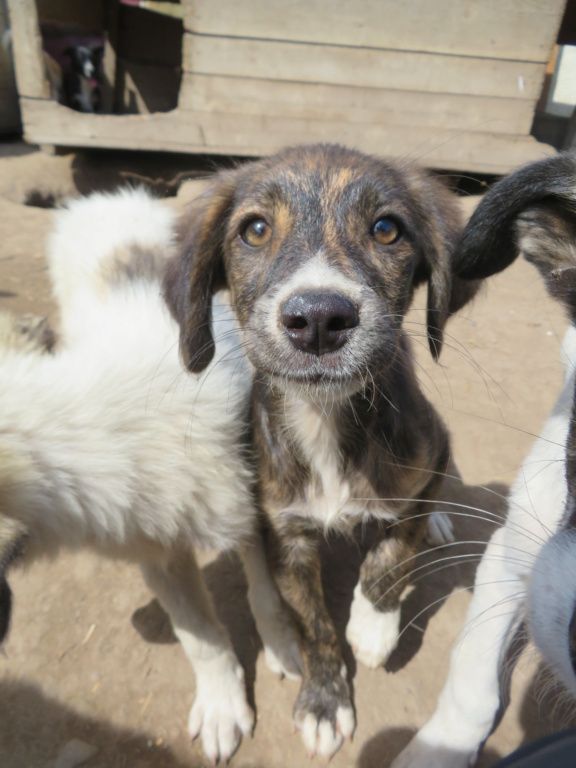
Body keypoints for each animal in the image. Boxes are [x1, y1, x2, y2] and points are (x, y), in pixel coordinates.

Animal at [0, 189, 300, 764]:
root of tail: (106, 196)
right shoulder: (153, 548)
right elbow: (199, 636)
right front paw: (222, 708)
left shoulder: (245, 505)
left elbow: (266, 595)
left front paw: (286, 651)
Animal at [164, 142, 480, 756]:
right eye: (255, 230)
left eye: (386, 229)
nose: (317, 319)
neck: (325, 422)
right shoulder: (286, 536)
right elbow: (313, 627)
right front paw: (324, 701)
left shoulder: (430, 453)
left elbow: (391, 556)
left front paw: (374, 626)